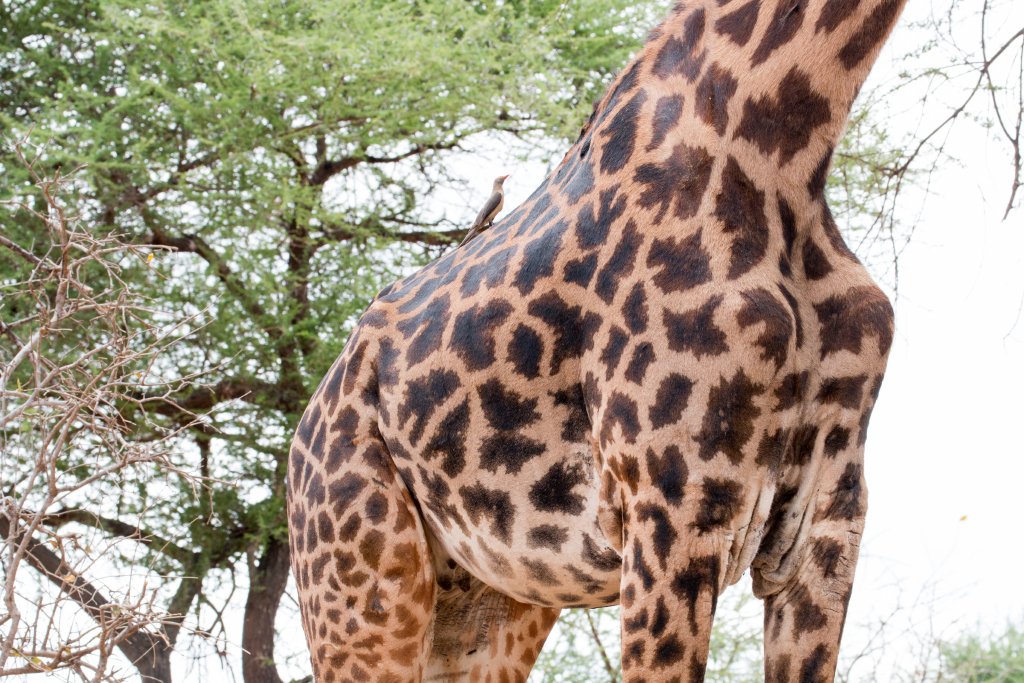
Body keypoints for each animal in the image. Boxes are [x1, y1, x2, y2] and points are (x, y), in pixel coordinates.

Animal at [286, 0, 906, 680]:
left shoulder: (828, 519)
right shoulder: (672, 501)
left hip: (491, 602)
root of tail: (302, 435)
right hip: (361, 583)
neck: (786, 155)